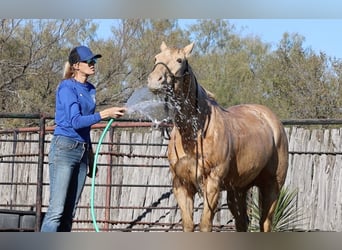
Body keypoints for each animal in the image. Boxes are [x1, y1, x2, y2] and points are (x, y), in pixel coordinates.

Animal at [147, 41, 288, 232]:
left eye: (180, 60)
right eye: (156, 58)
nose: (155, 80)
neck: (194, 132)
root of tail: (271, 119)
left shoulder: (212, 184)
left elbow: (205, 225)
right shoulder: (181, 184)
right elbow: (188, 224)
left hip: (272, 186)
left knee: (265, 223)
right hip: (238, 190)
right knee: (242, 222)